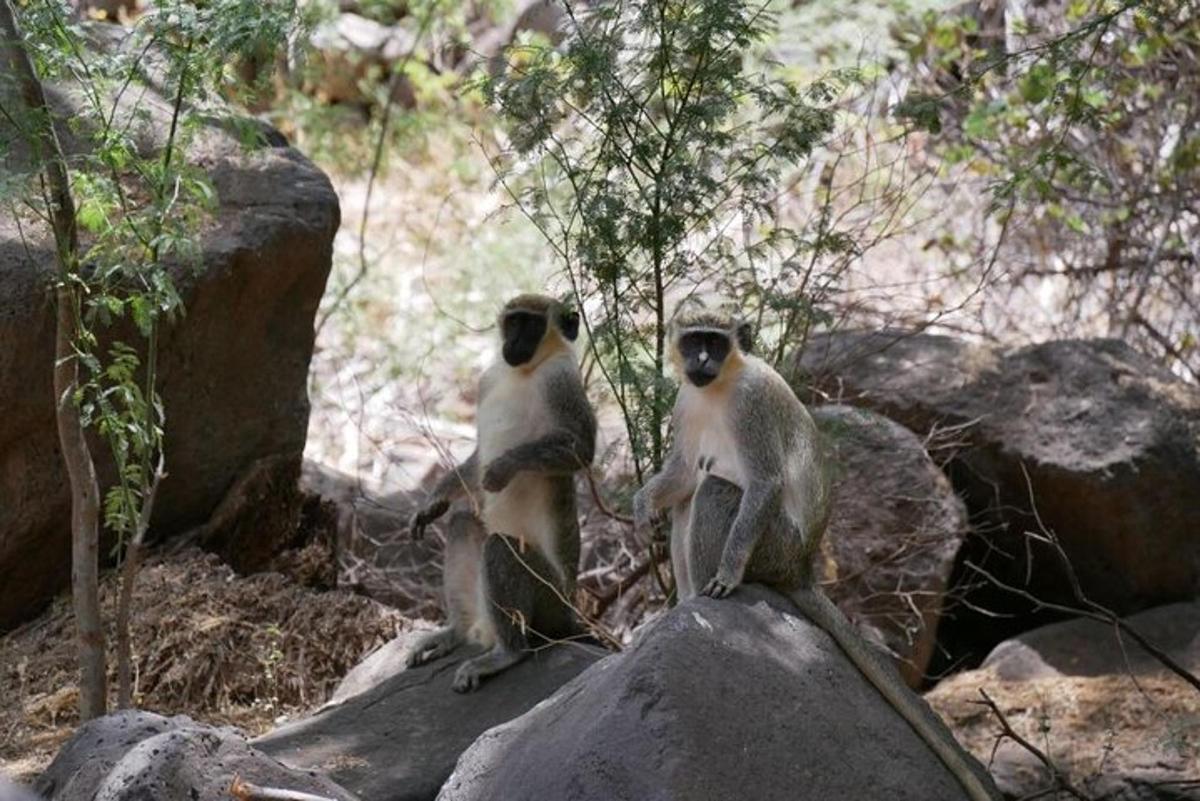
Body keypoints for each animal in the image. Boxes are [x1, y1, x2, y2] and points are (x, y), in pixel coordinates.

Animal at [408, 296, 595, 695]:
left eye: (532, 325)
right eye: (513, 322)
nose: (513, 343)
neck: (523, 372)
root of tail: (570, 612)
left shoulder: (561, 382)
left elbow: (581, 451)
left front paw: (503, 467)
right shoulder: (487, 380)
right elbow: (478, 457)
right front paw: (434, 501)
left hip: (549, 600)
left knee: (501, 547)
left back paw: (507, 654)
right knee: (463, 524)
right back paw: (456, 633)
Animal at [638, 302, 1003, 801]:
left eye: (715, 342)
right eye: (694, 340)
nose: (701, 361)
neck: (719, 386)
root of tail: (802, 566)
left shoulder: (751, 405)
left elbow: (764, 482)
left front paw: (727, 574)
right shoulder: (684, 402)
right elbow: (681, 472)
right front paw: (642, 505)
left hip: (774, 545)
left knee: (713, 490)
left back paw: (699, 600)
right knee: (690, 495)